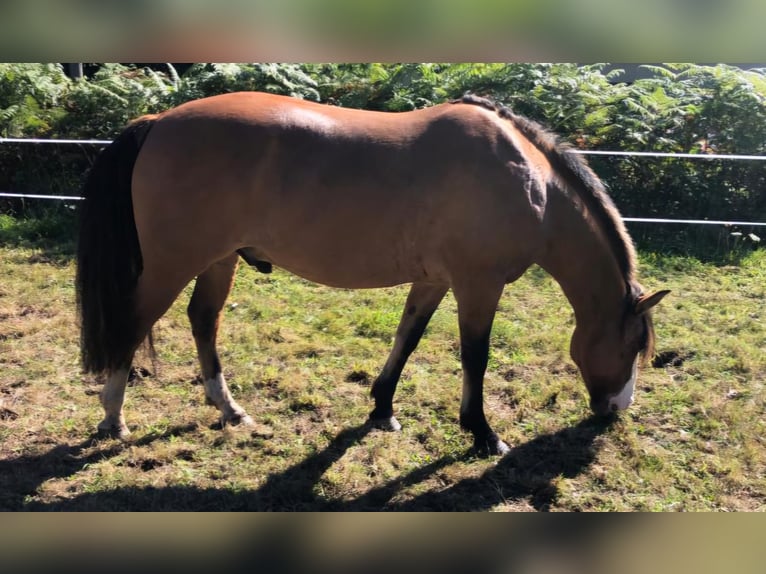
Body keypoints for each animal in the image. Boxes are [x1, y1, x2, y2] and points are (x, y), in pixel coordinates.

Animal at [75, 92, 668, 456]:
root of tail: (157, 124)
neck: (529, 182)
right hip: (172, 264)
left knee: (204, 320)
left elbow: (407, 337)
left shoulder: (435, 280)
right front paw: (482, 434)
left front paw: (382, 408)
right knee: (131, 324)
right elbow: (475, 357)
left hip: (219, 260)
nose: (617, 410)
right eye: (631, 345)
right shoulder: (479, 284)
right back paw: (114, 418)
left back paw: (230, 410)